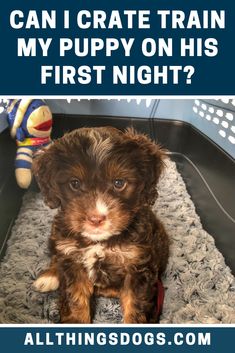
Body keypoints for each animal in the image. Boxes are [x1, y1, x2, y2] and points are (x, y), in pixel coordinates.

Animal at [33, 126, 169, 322]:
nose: (96, 218)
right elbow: (75, 300)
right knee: (56, 256)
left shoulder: (137, 268)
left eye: (119, 183)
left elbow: (136, 307)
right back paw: (49, 276)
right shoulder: (73, 262)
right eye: (75, 183)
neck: (100, 242)